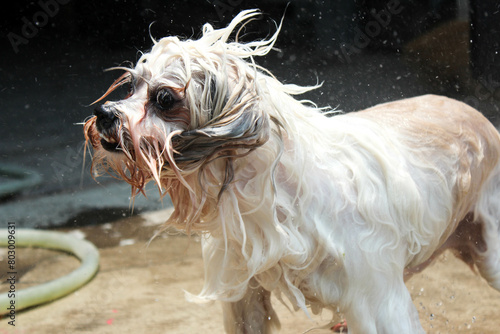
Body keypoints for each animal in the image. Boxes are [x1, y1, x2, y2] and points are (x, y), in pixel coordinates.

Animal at [84, 9, 500, 332]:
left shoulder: (379, 303)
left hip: (490, 255)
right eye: (132, 86)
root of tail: (481, 118)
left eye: (164, 98)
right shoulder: (244, 297)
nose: (104, 114)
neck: (276, 200)